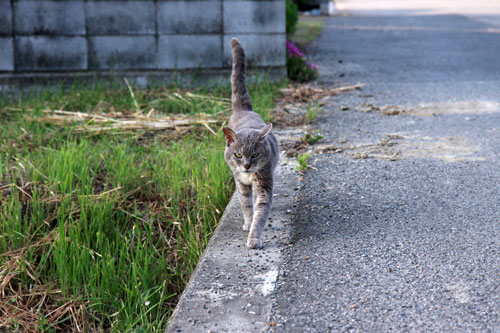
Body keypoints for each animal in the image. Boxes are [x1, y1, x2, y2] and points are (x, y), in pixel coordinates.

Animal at [224, 37, 280, 248]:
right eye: (238, 154)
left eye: (255, 154)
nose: (247, 166)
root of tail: (244, 110)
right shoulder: (240, 183)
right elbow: (247, 205)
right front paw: (248, 223)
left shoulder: (264, 183)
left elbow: (261, 211)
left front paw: (254, 238)